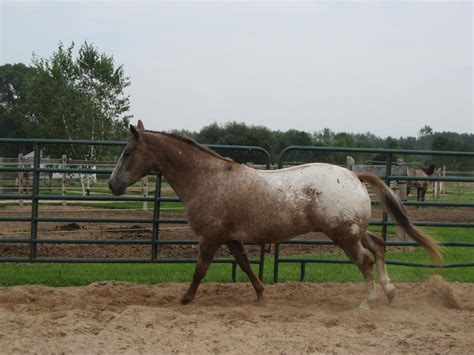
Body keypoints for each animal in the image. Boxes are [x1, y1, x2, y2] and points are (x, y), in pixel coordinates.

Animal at [107, 121, 440, 310]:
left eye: (126, 153)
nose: (112, 184)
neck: (206, 178)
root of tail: (354, 174)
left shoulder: (211, 238)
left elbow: (199, 270)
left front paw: (185, 299)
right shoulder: (230, 238)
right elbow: (245, 265)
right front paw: (260, 294)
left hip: (344, 235)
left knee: (366, 261)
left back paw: (367, 302)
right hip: (353, 231)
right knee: (379, 246)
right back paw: (390, 292)